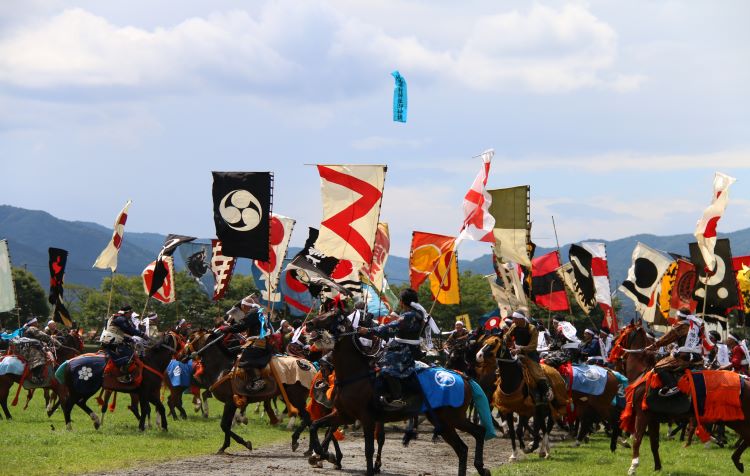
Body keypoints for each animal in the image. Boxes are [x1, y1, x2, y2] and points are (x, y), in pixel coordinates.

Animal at [306, 308, 494, 476]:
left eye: (332, 315)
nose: (309, 324)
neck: (355, 375)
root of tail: (462, 377)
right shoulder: (344, 415)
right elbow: (315, 426)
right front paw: (323, 454)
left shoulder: (367, 419)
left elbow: (368, 449)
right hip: (443, 421)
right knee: (466, 445)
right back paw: (481, 468)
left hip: (451, 418)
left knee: (472, 438)